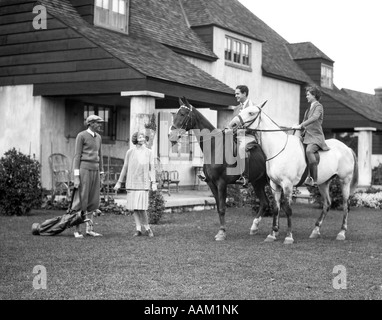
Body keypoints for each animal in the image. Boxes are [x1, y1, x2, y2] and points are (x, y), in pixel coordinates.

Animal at [167, 97, 268, 240]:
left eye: (182, 114)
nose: (170, 135)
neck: (214, 146)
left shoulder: (221, 183)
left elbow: (222, 208)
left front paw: (221, 233)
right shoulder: (212, 183)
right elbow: (218, 209)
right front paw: (222, 230)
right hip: (257, 182)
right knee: (265, 203)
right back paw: (255, 228)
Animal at [228, 101, 360, 244]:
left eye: (251, 113)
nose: (232, 124)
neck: (278, 148)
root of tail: (346, 148)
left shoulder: (287, 185)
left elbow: (288, 209)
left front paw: (288, 236)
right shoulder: (275, 185)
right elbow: (276, 208)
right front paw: (272, 234)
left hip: (344, 181)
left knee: (346, 205)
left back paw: (341, 233)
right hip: (323, 183)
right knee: (327, 204)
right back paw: (315, 230)